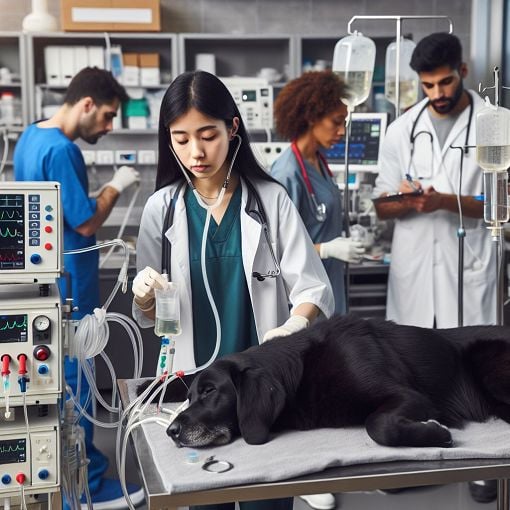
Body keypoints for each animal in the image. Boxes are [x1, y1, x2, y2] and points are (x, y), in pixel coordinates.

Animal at [162, 316, 510, 448]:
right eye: (190, 397)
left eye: (210, 391)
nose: (171, 431)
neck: (300, 374)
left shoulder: (411, 397)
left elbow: (379, 425)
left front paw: (437, 433)